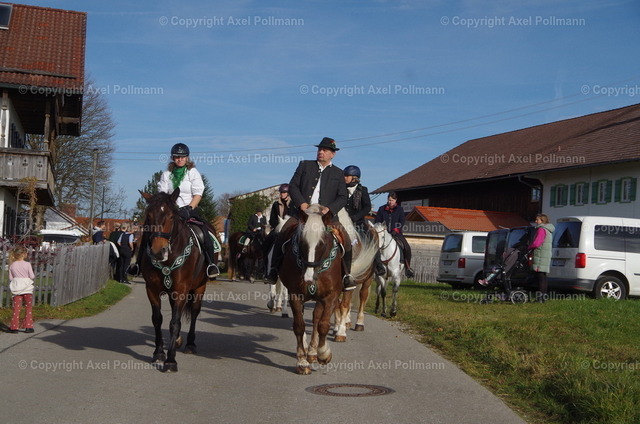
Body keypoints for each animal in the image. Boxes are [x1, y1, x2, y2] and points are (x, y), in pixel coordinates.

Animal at [139, 189, 216, 372]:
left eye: (171, 217)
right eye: (149, 216)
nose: (158, 252)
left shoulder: (181, 289)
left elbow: (175, 323)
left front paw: (170, 361)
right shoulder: (152, 289)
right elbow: (157, 319)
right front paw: (159, 353)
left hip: (200, 286)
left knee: (194, 311)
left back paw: (190, 344)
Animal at [277, 204, 371, 374]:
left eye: (322, 243)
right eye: (302, 242)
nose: (308, 278)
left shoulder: (330, 296)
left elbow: (323, 325)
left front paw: (323, 354)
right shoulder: (295, 295)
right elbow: (299, 326)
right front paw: (302, 361)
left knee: (338, 309)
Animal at [333, 211, 379, 342]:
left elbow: (344, 304)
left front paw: (340, 332)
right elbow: (337, 304)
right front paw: (337, 326)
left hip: (367, 279)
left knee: (363, 296)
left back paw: (359, 323)